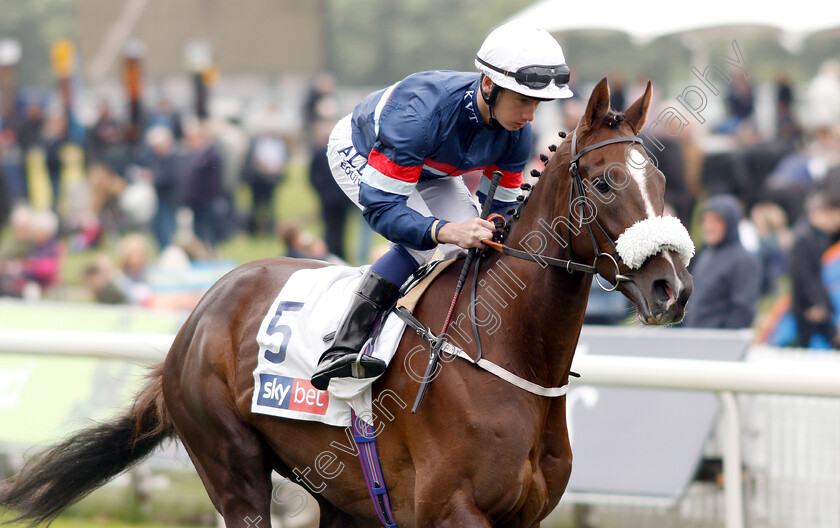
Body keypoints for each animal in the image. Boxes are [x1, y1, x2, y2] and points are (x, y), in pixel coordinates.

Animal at [0, 79, 692, 528]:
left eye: (660, 179)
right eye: (603, 184)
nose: (674, 287)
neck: (509, 355)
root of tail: (200, 311)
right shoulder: (454, 510)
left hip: (338, 489)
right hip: (235, 472)